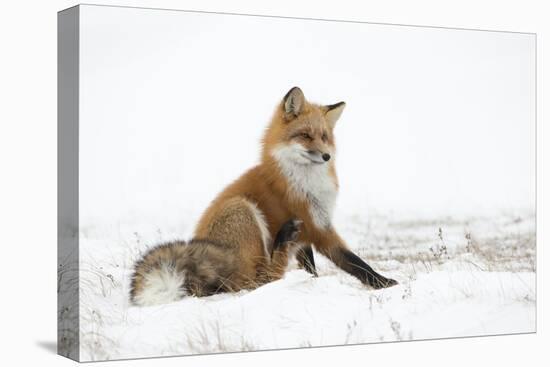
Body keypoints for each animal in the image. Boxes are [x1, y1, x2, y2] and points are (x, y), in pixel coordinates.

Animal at [130, 87, 396, 306]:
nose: (326, 156)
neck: (305, 181)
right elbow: (355, 262)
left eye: (324, 137)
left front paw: (312, 283)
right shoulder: (317, 227)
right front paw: (384, 283)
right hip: (243, 211)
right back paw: (281, 242)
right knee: (256, 281)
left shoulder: (308, 232)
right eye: (306, 136)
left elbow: (311, 266)